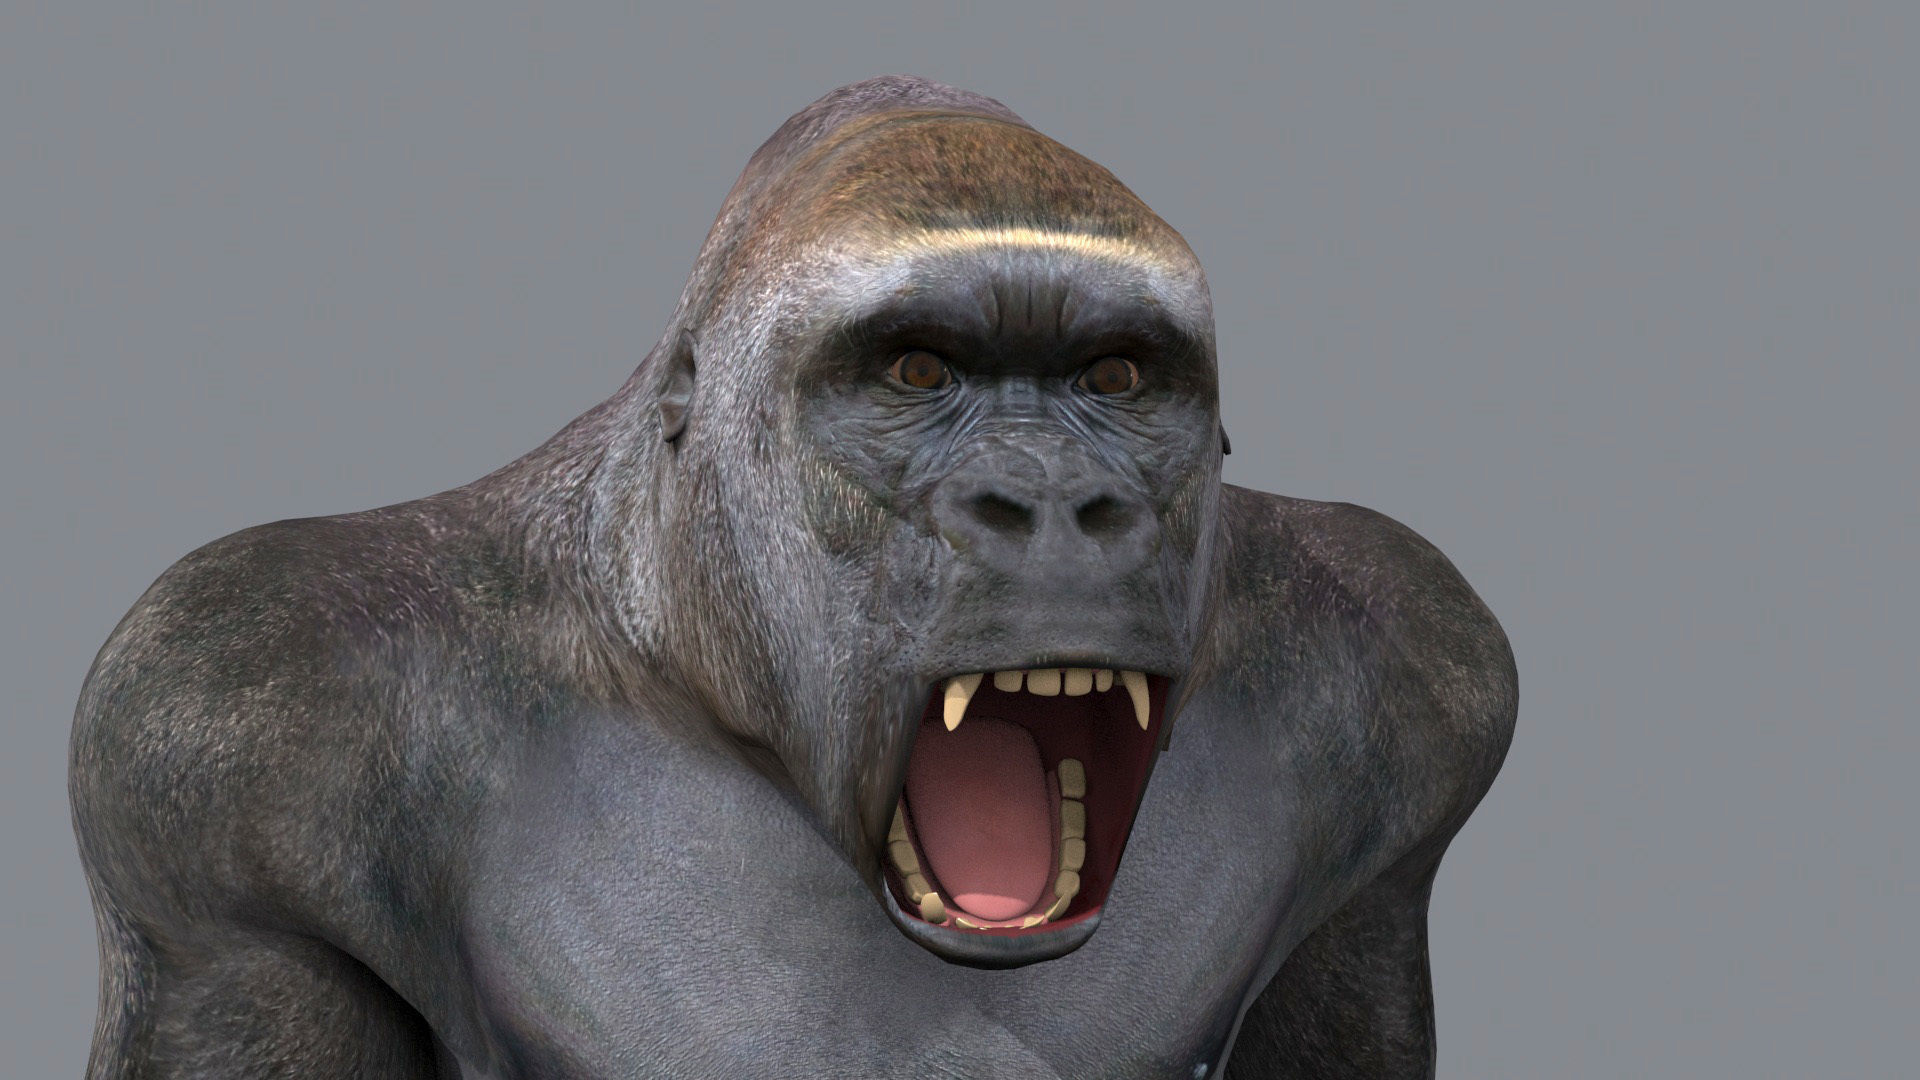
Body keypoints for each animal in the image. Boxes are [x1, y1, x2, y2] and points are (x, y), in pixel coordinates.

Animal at [70, 76, 1516, 1079]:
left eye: (1116, 378)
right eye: (918, 370)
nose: (1056, 500)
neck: (672, 638)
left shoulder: (1414, 659)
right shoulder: (220, 717)